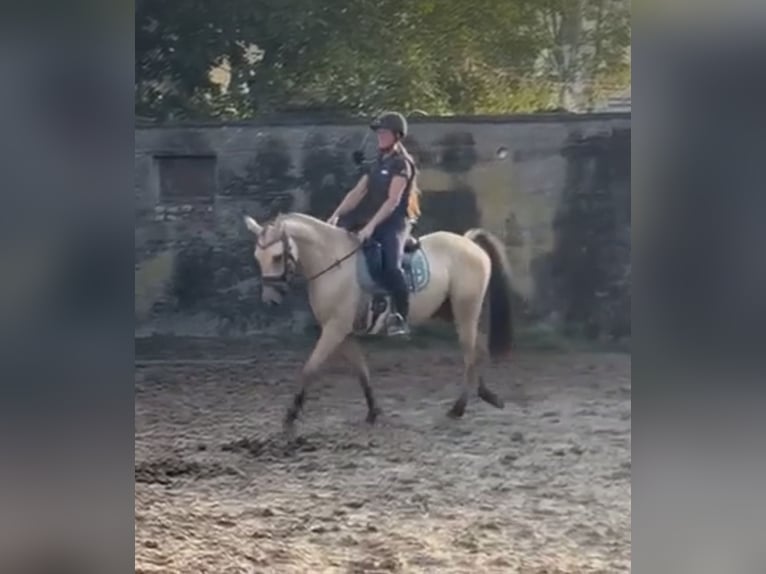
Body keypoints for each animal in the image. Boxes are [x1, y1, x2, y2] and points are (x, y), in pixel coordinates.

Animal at [244, 209, 516, 430]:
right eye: (257, 257)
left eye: (277, 257)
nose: (270, 299)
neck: (333, 263)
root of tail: (468, 242)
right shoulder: (343, 332)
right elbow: (362, 370)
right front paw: (373, 411)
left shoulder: (334, 329)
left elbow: (310, 367)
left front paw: (291, 414)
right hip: (451, 312)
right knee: (478, 347)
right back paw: (486, 394)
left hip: (465, 310)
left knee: (470, 353)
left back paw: (458, 408)